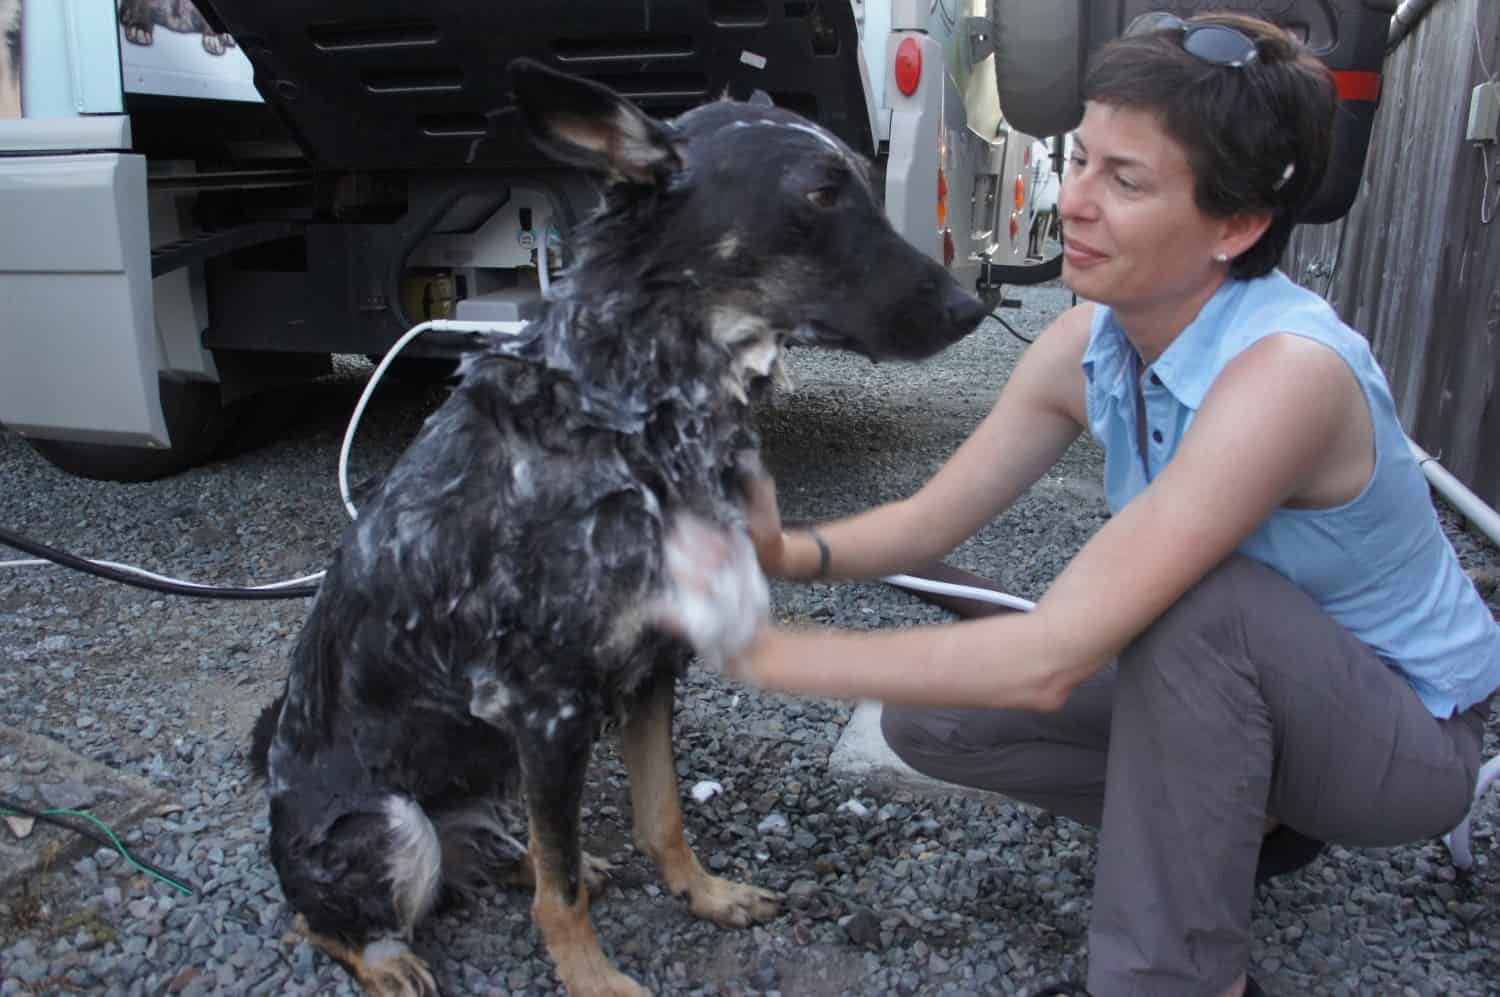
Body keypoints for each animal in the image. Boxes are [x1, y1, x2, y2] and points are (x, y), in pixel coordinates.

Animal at [252, 62, 990, 995]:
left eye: (863, 177)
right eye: (821, 193)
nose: (971, 307)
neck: (631, 421)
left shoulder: (654, 669)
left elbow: (661, 814)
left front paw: (705, 892)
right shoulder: (548, 710)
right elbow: (561, 895)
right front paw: (593, 976)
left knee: (509, 853)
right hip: (392, 822)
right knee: (318, 917)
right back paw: (387, 958)